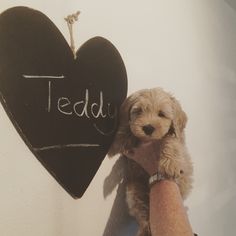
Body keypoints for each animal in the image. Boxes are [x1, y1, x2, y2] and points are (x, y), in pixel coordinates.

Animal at [104, 88, 193, 236]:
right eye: (139, 111)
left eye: (161, 114)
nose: (148, 128)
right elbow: (128, 130)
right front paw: (116, 144)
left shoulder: (177, 138)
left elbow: (170, 142)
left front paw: (170, 165)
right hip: (133, 191)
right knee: (143, 214)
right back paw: (145, 229)